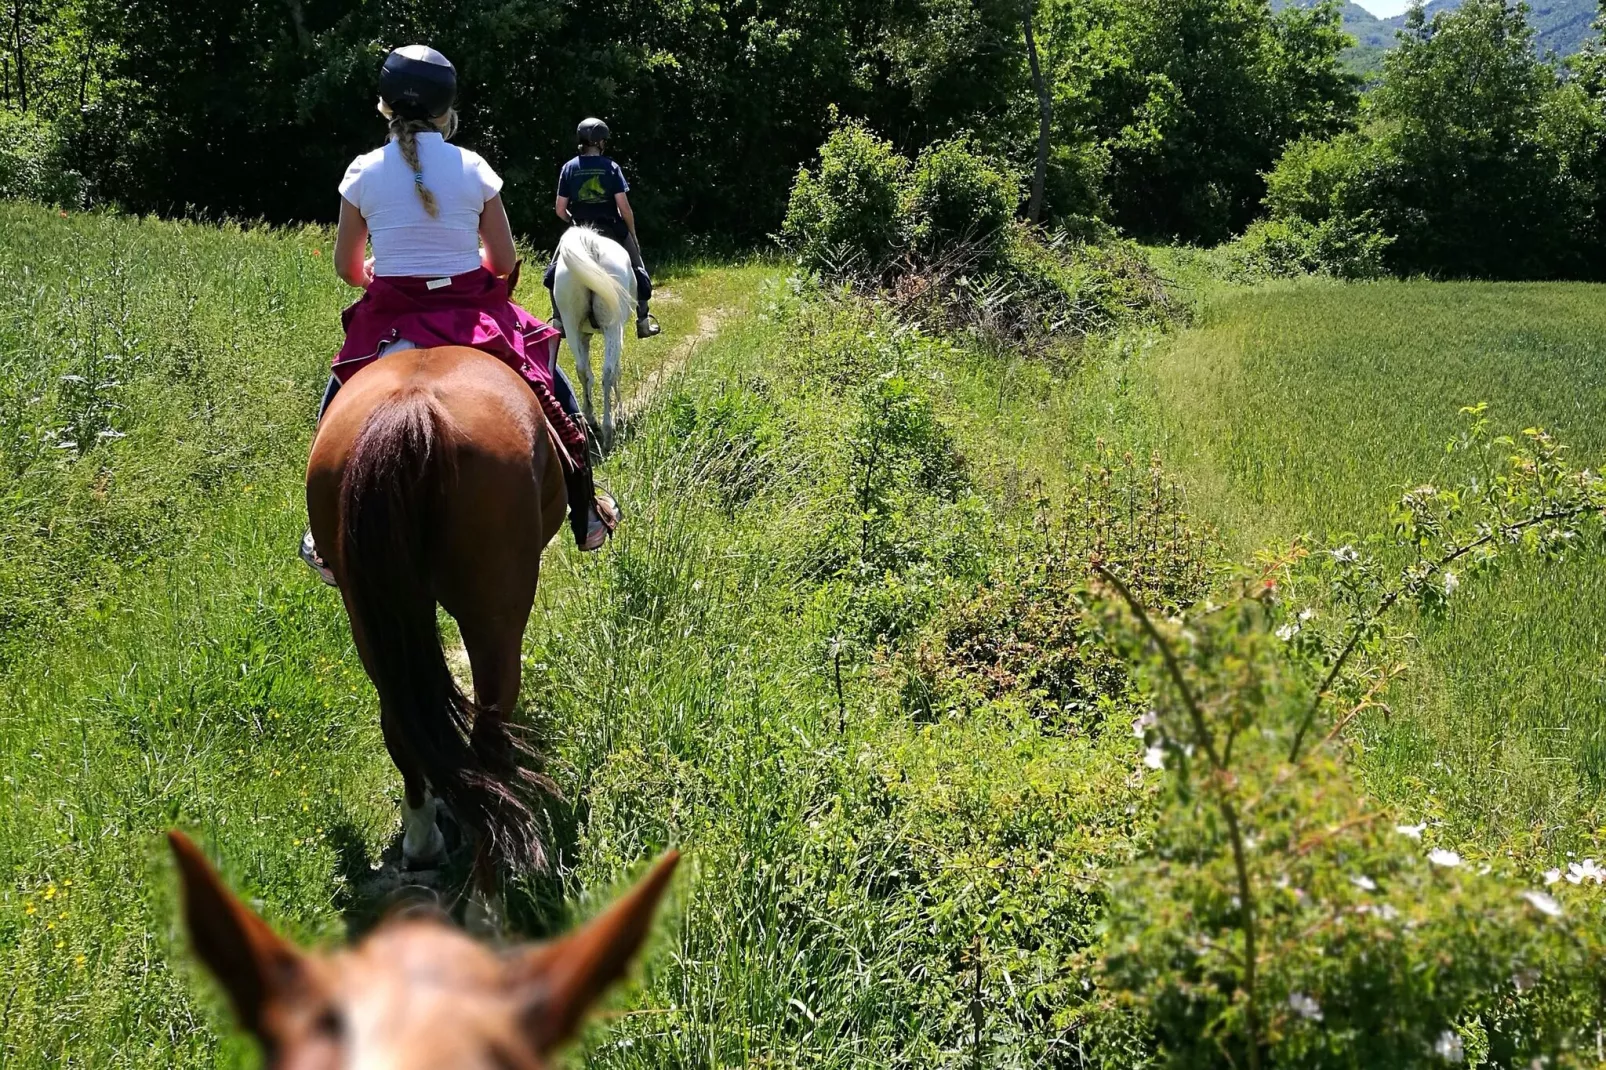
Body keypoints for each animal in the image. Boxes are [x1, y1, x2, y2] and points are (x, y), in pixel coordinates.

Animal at [308, 343, 571, 880]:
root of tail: (412, 409)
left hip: (370, 618)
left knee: (399, 723)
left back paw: (423, 840)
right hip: (494, 611)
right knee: (490, 727)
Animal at [549, 224, 629, 440]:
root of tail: (591, 245)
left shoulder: (584, 335)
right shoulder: (618, 332)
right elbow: (617, 370)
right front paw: (620, 411)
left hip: (571, 325)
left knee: (583, 370)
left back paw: (591, 420)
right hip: (612, 327)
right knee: (608, 372)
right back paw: (608, 428)